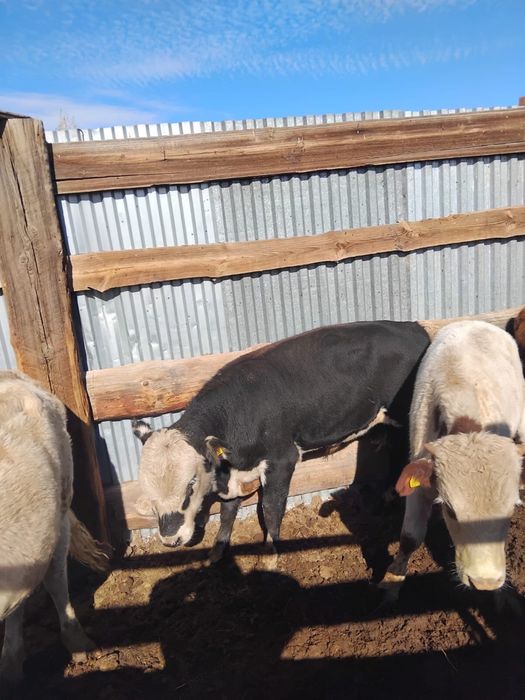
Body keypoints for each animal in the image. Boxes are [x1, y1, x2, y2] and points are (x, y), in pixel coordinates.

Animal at [132, 320, 430, 566]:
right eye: (147, 490)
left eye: (190, 485)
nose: (171, 540)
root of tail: (413, 327)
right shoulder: (231, 471)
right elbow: (228, 511)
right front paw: (217, 551)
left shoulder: (281, 460)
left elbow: (271, 509)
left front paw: (269, 556)